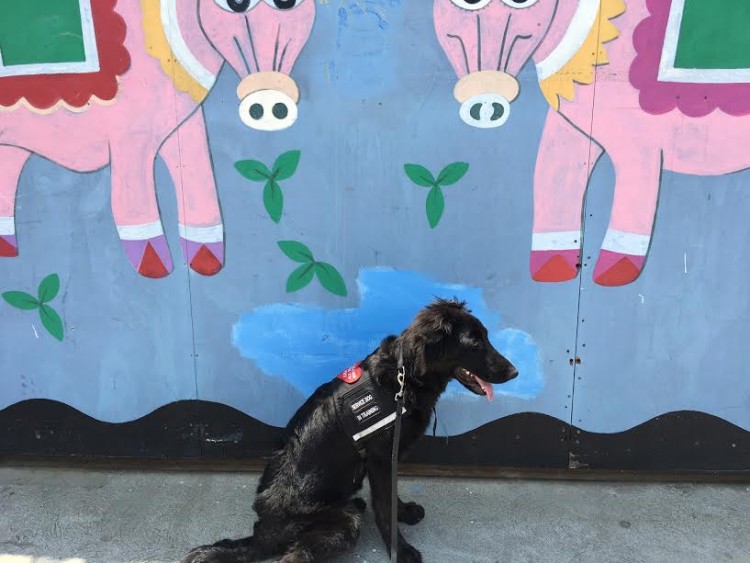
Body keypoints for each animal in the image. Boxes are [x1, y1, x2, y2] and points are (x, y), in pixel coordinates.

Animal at [185, 300, 520, 563]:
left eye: (486, 338)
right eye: (475, 344)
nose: (515, 372)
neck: (405, 377)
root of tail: (262, 534)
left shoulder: (388, 459)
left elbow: (392, 496)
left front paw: (405, 512)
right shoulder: (381, 459)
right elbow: (384, 507)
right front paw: (401, 551)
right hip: (342, 523)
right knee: (294, 555)